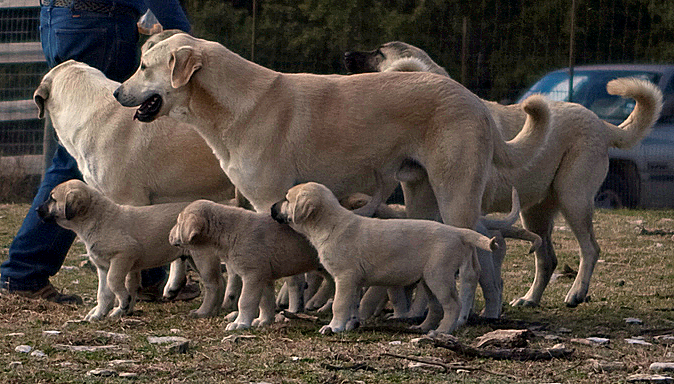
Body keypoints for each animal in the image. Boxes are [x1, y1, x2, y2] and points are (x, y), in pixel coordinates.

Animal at [36, 180, 194, 320]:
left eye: (52, 198)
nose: (37, 209)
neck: (97, 219)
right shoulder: (103, 267)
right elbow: (103, 293)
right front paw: (99, 314)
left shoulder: (124, 255)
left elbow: (113, 281)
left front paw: (124, 301)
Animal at [168, 200, 330, 328]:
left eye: (178, 222)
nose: (168, 236)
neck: (229, 231)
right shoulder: (264, 277)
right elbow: (265, 302)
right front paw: (263, 320)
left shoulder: (252, 275)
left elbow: (245, 301)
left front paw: (240, 323)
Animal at [270, 182, 496, 334]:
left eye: (287, 199)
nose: (272, 208)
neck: (330, 224)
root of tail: (457, 232)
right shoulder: (355, 282)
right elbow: (353, 305)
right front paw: (350, 324)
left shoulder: (345, 278)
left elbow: (339, 304)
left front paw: (333, 327)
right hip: (428, 281)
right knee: (436, 307)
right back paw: (423, 327)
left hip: (438, 276)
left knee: (452, 305)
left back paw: (442, 331)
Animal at [344, 40, 664, 308]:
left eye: (379, 53)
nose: (346, 54)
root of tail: (600, 123)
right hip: (534, 214)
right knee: (547, 259)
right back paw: (529, 299)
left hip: (573, 200)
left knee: (590, 249)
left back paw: (576, 293)